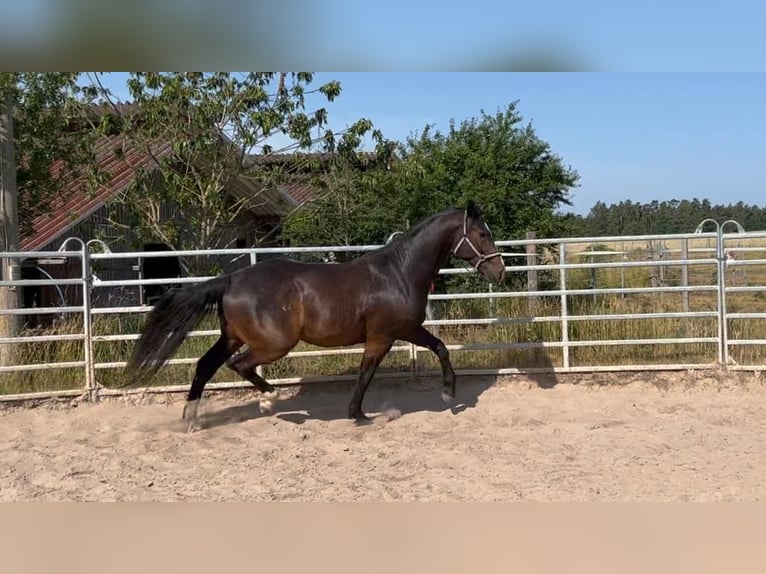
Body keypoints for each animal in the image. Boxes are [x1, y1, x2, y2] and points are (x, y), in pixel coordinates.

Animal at [124, 202, 510, 432]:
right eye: (482, 234)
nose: (500, 271)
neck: (399, 273)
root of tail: (231, 279)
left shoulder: (408, 330)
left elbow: (440, 348)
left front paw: (448, 394)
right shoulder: (383, 337)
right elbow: (366, 374)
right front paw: (360, 415)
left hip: (233, 335)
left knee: (206, 365)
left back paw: (192, 419)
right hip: (274, 344)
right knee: (239, 365)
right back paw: (270, 399)